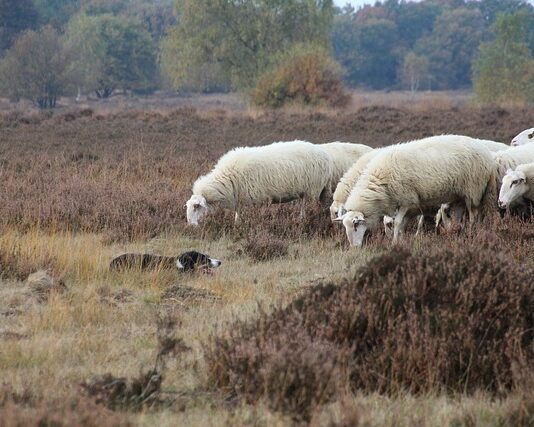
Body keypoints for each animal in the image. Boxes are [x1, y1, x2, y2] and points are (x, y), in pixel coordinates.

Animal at [186, 140, 332, 227]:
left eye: (196, 206)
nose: (190, 226)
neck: (228, 178)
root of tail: (324, 154)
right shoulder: (241, 199)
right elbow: (238, 216)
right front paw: (237, 226)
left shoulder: (260, 200)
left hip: (313, 190)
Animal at [338, 135, 500, 246]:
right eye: (345, 227)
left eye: (356, 225)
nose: (354, 247)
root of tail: (488, 155)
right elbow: (402, 224)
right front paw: (401, 240)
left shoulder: (406, 199)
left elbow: (398, 222)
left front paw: (395, 242)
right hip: (459, 195)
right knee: (458, 217)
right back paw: (456, 234)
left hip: (473, 190)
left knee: (474, 216)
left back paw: (472, 234)